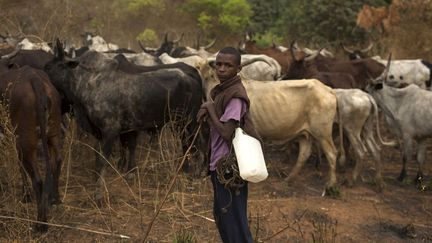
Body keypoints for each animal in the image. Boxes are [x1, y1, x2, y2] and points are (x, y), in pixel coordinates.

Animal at [0, 65, 63, 232]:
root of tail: (36, 81)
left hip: (26, 142)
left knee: (38, 179)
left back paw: (41, 223)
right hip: (52, 134)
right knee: (57, 162)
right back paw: (55, 199)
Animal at [44, 39, 205, 199]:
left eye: (51, 66)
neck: (87, 83)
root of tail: (192, 78)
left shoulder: (111, 131)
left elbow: (103, 160)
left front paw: (99, 193)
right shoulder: (105, 133)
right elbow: (100, 157)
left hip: (190, 122)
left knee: (198, 145)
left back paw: (197, 173)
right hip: (179, 125)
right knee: (187, 145)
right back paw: (186, 170)